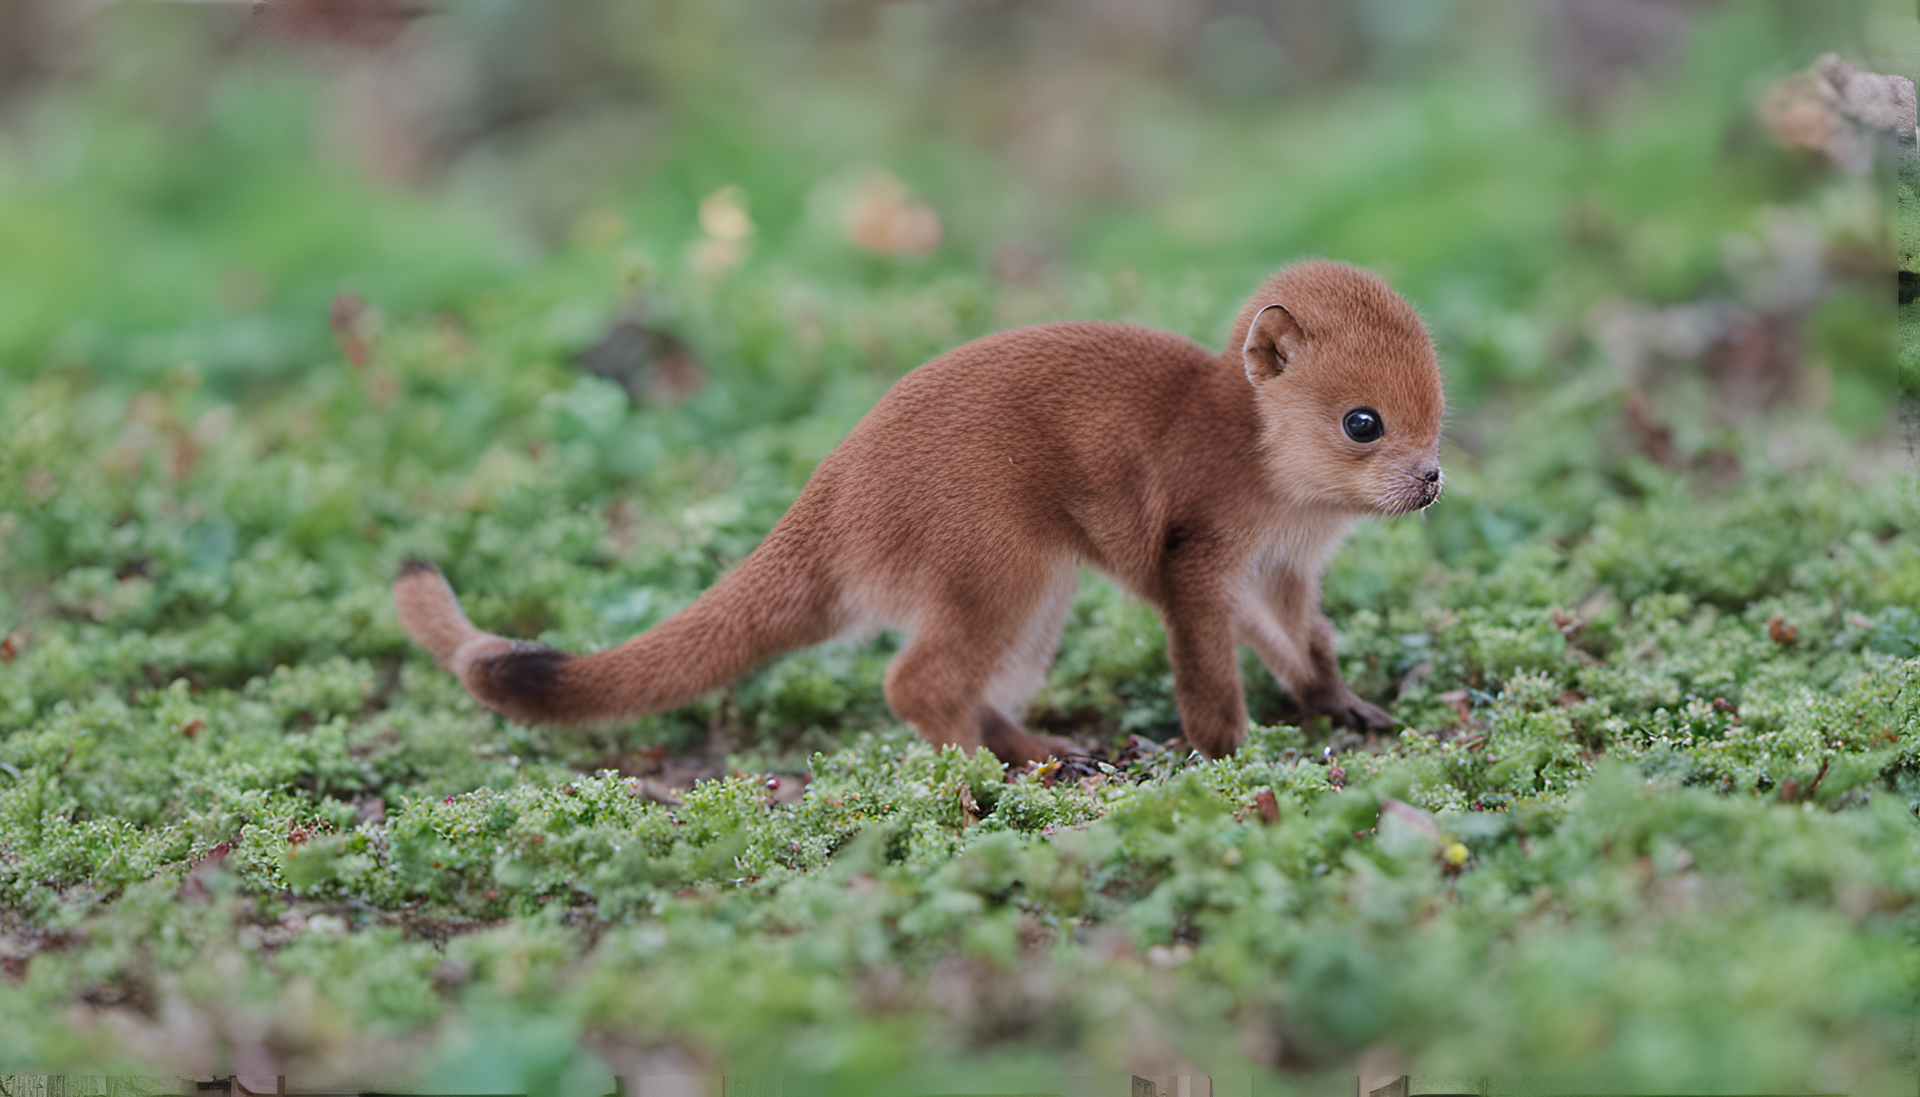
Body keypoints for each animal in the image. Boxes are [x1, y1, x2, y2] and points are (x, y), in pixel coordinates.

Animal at [393, 263, 1443, 768]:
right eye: (1362, 421)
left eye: (1439, 411)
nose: (1431, 481)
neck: (1261, 461)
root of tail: (831, 494)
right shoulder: (1196, 564)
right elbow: (1211, 680)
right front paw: (1231, 758)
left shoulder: (1279, 574)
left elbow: (1308, 647)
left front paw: (1345, 708)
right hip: (1004, 568)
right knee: (914, 681)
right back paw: (981, 780)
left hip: (1040, 590)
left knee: (974, 691)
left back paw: (1050, 755)